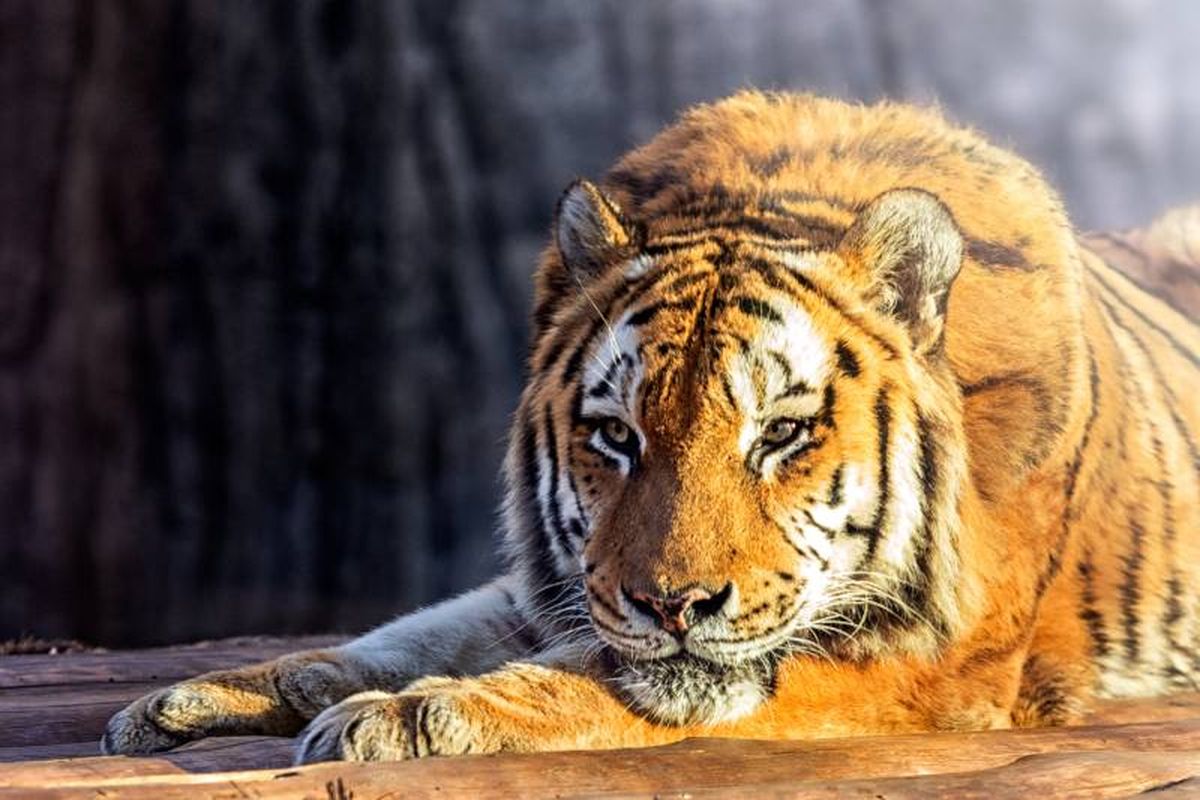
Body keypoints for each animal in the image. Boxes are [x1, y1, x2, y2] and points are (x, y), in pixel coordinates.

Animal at [102, 91, 1200, 763]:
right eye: (618, 436)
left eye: (781, 434)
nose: (674, 604)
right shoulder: (551, 585)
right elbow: (400, 636)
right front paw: (196, 696)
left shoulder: (931, 666)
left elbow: (584, 677)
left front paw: (412, 717)